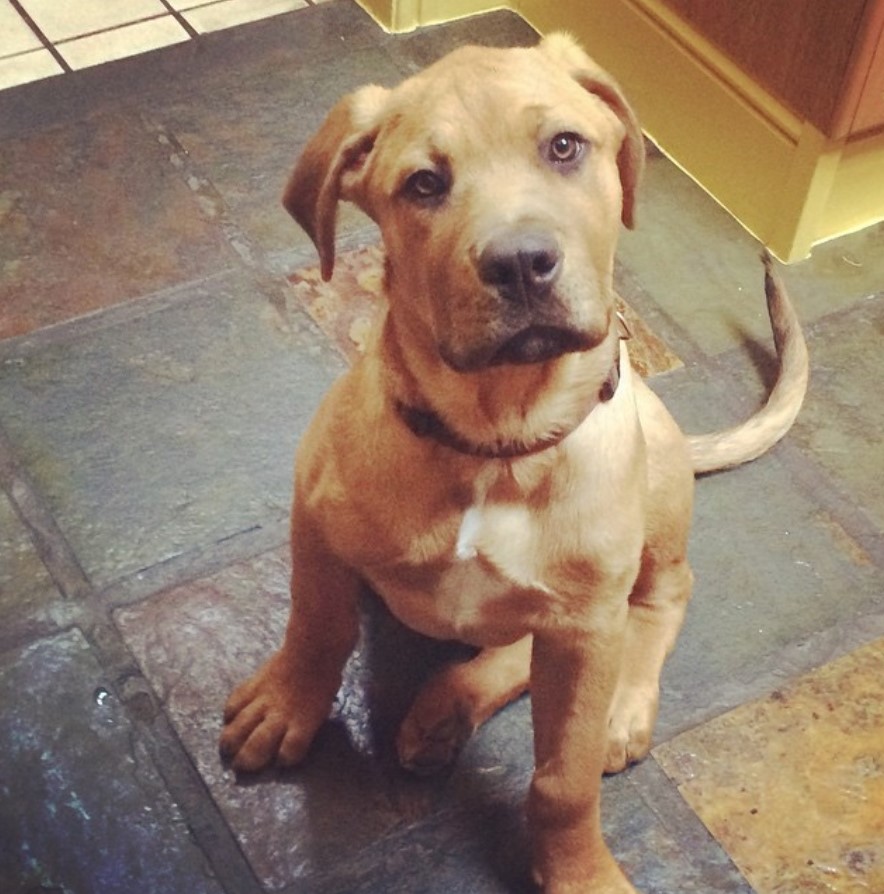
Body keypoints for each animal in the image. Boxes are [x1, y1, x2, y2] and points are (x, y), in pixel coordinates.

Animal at [221, 35, 808, 894]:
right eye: (424, 184)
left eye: (564, 147)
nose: (522, 263)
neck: (496, 442)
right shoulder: (316, 513)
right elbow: (317, 622)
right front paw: (286, 704)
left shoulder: (587, 627)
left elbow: (562, 780)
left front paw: (580, 872)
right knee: (519, 643)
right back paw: (444, 708)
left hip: (650, 512)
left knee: (661, 593)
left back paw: (619, 707)